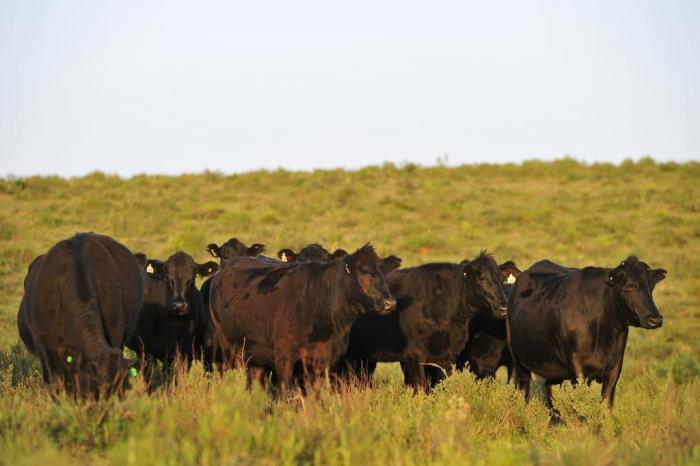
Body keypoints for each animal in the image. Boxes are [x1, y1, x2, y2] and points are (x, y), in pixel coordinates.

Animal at [209, 246, 400, 392]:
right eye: (364, 272)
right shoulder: (284, 357)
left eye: (384, 273)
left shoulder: (321, 361)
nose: (390, 303)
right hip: (229, 349)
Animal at [340, 249, 508, 392]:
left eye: (502, 279)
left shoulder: (445, 358)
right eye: (482, 278)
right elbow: (421, 386)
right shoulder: (414, 354)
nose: (503, 308)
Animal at [508, 255, 668, 416]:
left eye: (651, 286)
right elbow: (581, 406)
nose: (656, 320)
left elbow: (605, 406)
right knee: (522, 389)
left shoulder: (615, 368)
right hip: (518, 360)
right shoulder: (577, 367)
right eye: (629, 286)